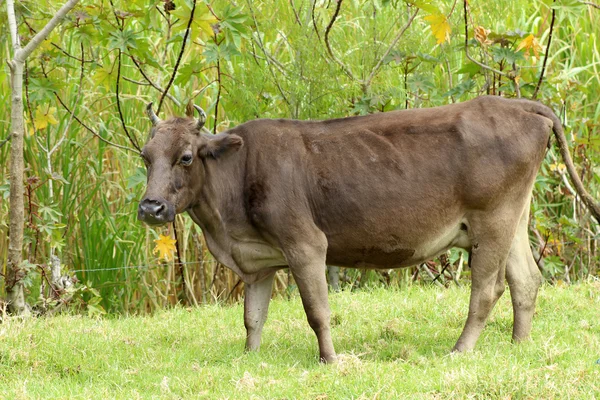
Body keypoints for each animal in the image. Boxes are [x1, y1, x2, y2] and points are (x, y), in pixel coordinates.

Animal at [137, 97, 600, 362]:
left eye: (186, 157)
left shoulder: (306, 244)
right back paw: (519, 345)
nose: (150, 206)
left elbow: (317, 311)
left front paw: (330, 360)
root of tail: (520, 104)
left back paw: (459, 351)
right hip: (516, 216)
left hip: (493, 218)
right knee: (527, 280)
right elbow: (253, 317)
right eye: (145, 155)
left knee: (488, 289)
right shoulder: (260, 261)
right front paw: (249, 359)